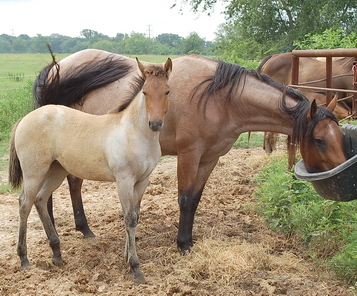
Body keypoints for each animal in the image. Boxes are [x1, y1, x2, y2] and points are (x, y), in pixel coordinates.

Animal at [6, 57, 171, 284]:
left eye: (167, 91)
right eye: (145, 92)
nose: (155, 124)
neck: (134, 133)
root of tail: (26, 118)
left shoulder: (142, 180)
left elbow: (135, 216)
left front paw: (126, 257)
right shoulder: (124, 180)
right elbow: (128, 218)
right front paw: (135, 267)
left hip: (56, 171)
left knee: (40, 199)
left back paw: (57, 254)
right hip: (34, 172)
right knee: (25, 203)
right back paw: (24, 259)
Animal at [34, 49, 344, 256]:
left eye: (340, 136)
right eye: (319, 140)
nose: (341, 172)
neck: (217, 98)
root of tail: (55, 69)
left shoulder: (209, 159)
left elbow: (194, 199)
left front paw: (189, 240)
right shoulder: (188, 155)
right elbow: (183, 199)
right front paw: (182, 244)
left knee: (73, 183)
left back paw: (82, 229)